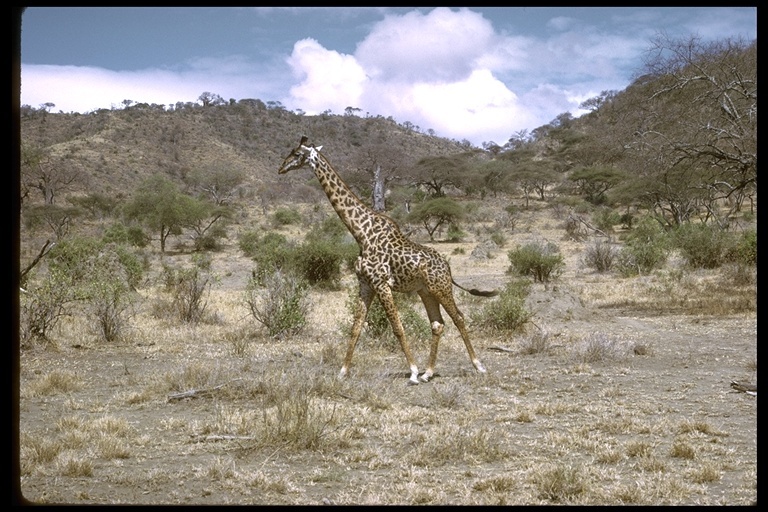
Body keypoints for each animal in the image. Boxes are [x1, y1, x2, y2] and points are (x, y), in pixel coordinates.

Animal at [278, 136, 498, 384]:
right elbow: (356, 328)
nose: (281, 168)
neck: (361, 233)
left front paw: (412, 371)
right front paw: (342, 371)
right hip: (426, 291)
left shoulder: (382, 283)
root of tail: (448, 267)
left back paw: (477, 365)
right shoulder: (365, 284)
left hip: (440, 287)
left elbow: (397, 328)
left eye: (297, 153)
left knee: (459, 318)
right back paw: (429, 372)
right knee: (437, 324)